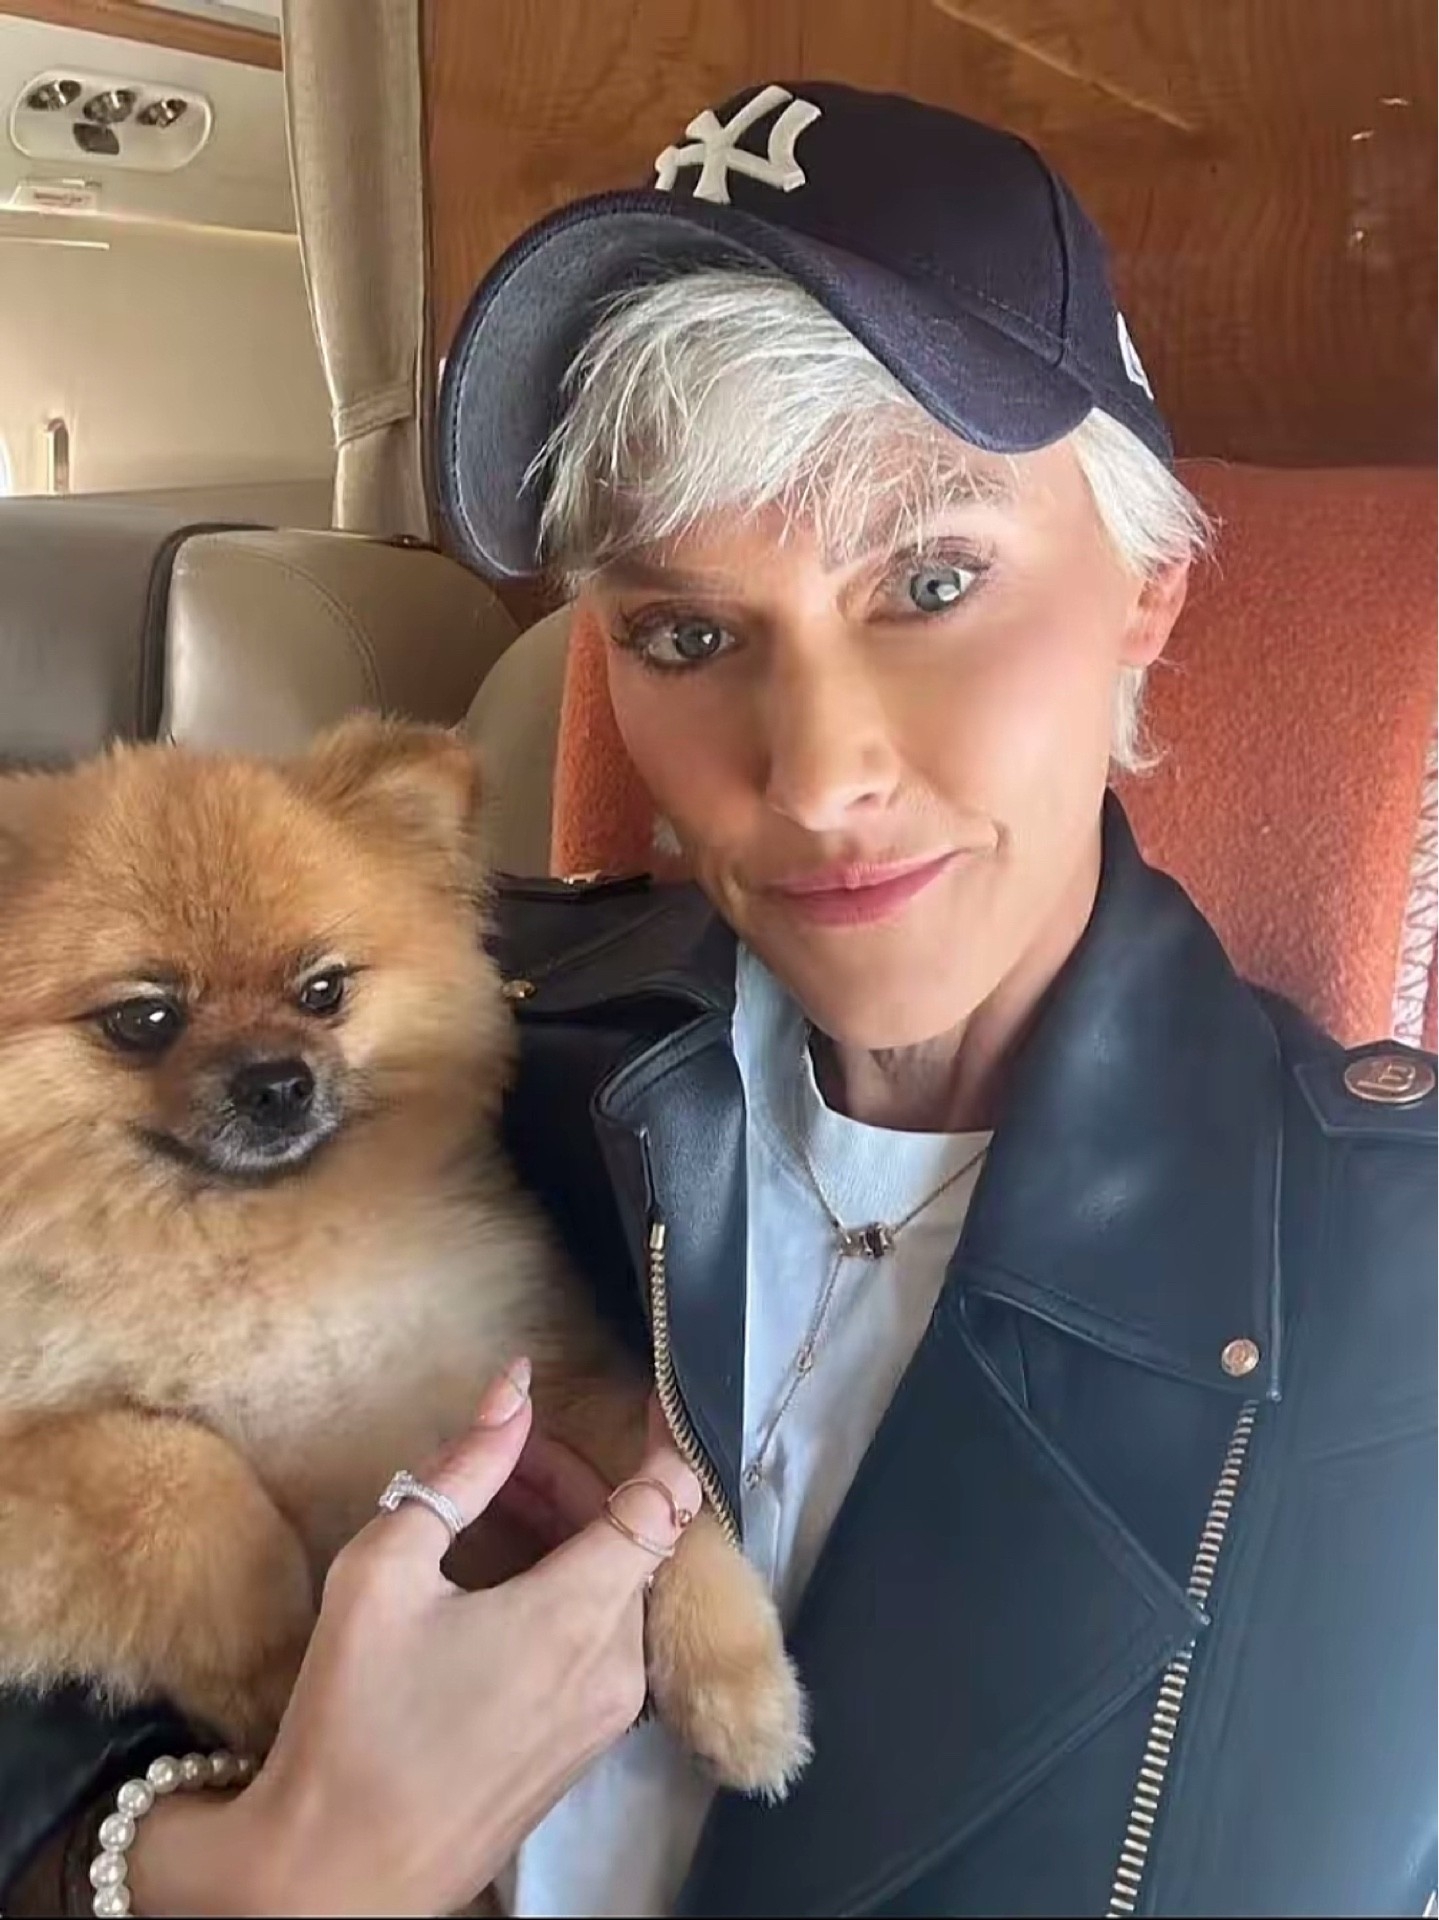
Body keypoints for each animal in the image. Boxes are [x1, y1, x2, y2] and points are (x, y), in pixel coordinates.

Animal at [0, 718, 807, 1803]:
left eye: (323, 991)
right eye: (145, 1018)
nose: (276, 1082)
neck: (268, 1248)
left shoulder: (536, 1373)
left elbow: (676, 1500)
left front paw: (740, 1683)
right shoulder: (40, 1458)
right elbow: (178, 1471)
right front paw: (276, 1668)